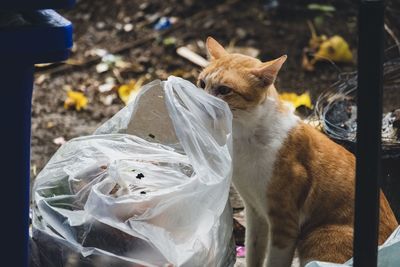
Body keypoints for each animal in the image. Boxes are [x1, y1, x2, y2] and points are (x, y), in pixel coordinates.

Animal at [197, 37, 396, 267]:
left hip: (317, 238)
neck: (245, 138)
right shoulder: (255, 213)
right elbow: (253, 253)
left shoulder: (285, 225)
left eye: (224, 90)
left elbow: (274, 261)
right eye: (202, 84)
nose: (200, 101)